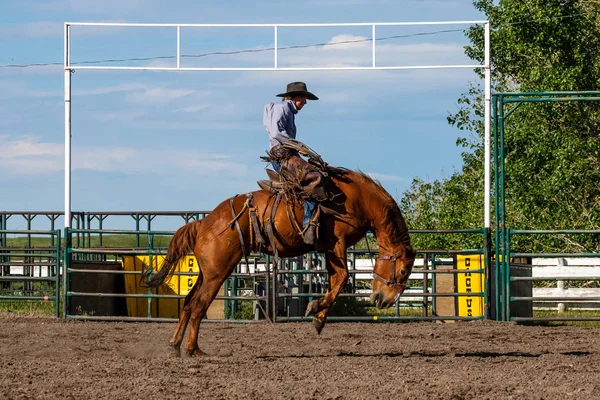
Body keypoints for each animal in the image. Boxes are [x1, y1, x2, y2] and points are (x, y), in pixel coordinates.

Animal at [146, 167, 418, 358]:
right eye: (404, 270)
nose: (384, 302)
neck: (355, 199)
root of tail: (204, 222)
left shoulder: (330, 249)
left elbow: (335, 281)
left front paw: (318, 318)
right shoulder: (336, 245)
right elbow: (341, 279)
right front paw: (315, 310)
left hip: (206, 273)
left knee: (189, 304)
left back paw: (175, 345)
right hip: (217, 274)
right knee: (198, 306)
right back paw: (193, 350)